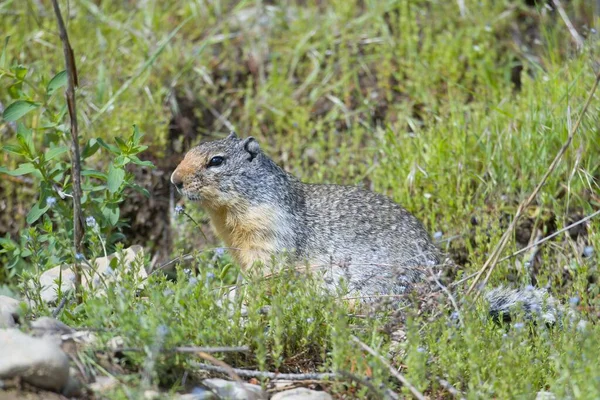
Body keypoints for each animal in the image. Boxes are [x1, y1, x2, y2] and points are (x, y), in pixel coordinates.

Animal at [172, 133, 568, 324]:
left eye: (216, 161)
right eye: (189, 150)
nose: (174, 180)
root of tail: (445, 294)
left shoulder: (269, 236)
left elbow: (266, 277)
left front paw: (235, 296)